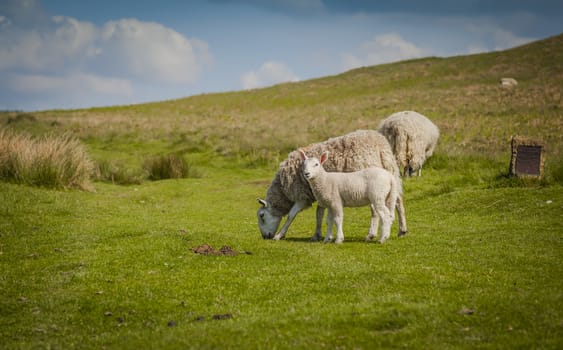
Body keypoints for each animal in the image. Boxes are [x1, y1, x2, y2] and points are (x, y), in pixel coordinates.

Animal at [258, 130, 408, 242]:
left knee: (376, 211)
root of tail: (380, 146)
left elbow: (291, 215)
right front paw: (319, 235)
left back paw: (371, 234)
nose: (265, 237)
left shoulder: (302, 196)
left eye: (262, 216)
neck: (282, 189)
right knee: (398, 202)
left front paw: (280, 235)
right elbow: (320, 213)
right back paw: (402, 230)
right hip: (392, 175)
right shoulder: (319, 193)